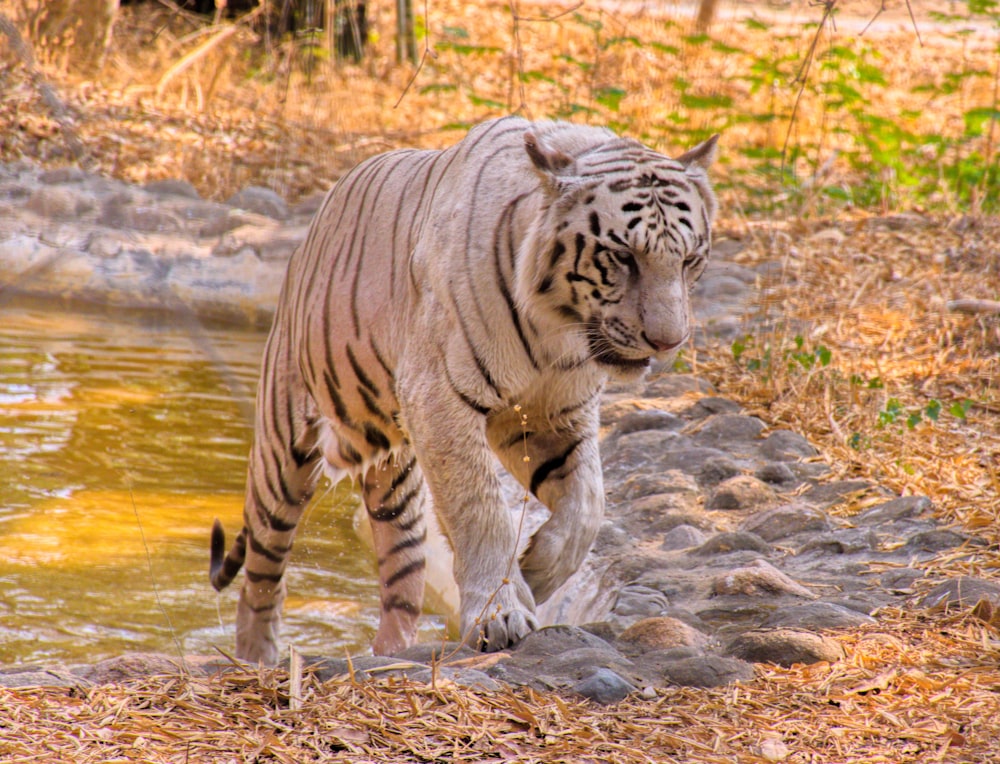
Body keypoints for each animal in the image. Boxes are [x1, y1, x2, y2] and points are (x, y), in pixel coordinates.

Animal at [211, 116, 716, 664]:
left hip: (398, 490)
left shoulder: (552, 417)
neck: (559, 327)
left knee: (401, 585)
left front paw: (535, 573)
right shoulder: (441, 398)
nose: (668, 342)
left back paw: (390, 652)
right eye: (624, 256)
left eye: (690, 260)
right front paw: (501, 613)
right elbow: (481, 510)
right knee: (262, 576)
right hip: (283, 453)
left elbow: (588, 505)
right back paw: (258, 658)